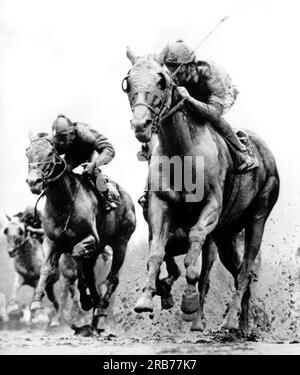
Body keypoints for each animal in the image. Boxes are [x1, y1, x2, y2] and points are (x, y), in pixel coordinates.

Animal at [25, 134, 136, 330]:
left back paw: (100, 306)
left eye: (50, 152)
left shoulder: (90, 239)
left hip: (121, 241)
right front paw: (36, 301)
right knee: (91, 273)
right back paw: (94, 303)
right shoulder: (52, 241)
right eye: (27, 153)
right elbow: (47, 268)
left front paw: (86, 299)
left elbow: (78, 259)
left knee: (112, 277)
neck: (64, 202)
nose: (33, 182)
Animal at [122, 50, 278, 334]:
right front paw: (146, 299)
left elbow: (195, 254)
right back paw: (242, 327)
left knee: (245, 271)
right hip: (227, 234)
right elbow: (157, 252)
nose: (141, 124)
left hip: (257, 218)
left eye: (162, 80)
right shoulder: (160, 205)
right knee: (240, 273)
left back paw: (229, 320)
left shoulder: (211, 207)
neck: (182, 154)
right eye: (128, 83)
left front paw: (189, 302)